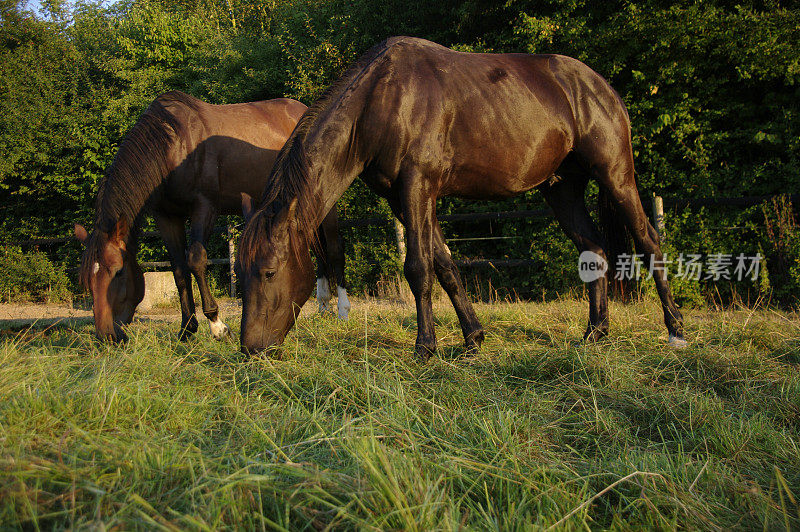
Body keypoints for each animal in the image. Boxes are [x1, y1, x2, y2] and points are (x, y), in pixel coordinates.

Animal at [76, 91, 348, 340]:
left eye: (119, 272)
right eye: (89, 280)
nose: (106, 335)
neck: (172, 147)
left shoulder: (204, 207)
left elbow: (196, 259)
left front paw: (217, 325)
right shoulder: (166, 216)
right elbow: (178, 270)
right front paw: (187, 329)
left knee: (334, 249)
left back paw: (340, 311)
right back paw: (323, 306)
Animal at [234, 37, 684, 358]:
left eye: (269, 272)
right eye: (241, 271)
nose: (251, 348)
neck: (382, 98)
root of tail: (601, 87)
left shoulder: (417, 186)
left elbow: (418, 268)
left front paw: (425, 347)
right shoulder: (405, 198)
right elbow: (445, 266)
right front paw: (472, 338)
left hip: (616, 175)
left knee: (649, 241)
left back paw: (675, 330)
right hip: (562, 189)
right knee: (594, 250)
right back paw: (595, 332)